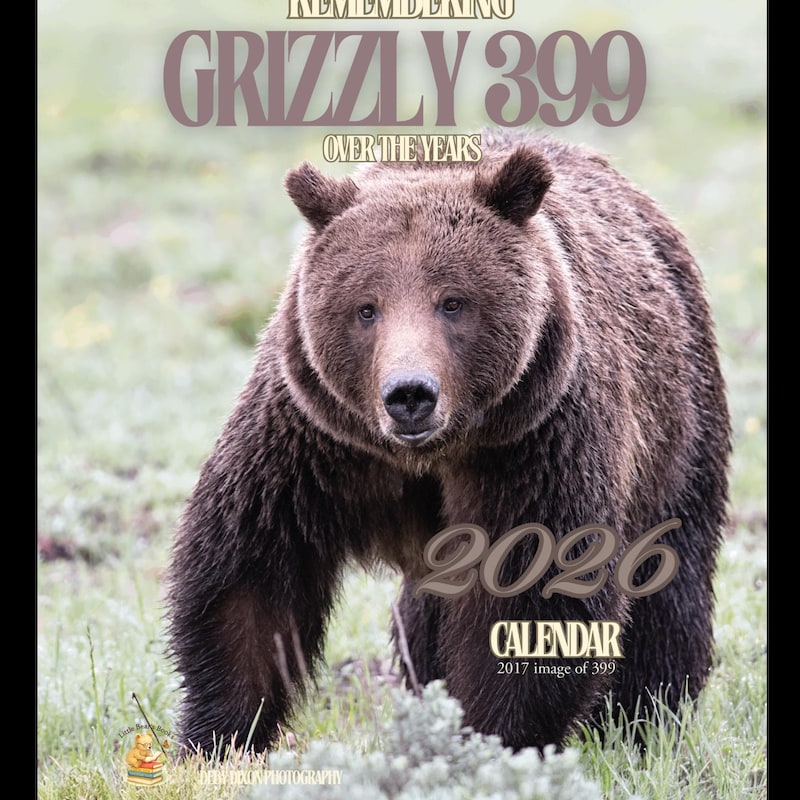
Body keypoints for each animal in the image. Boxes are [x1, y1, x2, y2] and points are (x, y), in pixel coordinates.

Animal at [166, 129, 730, 755]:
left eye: (452, 301)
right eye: (366, 308)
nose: (410, 394)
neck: (429, 455)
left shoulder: (534, 446)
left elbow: (533, 596)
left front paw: (492, 738)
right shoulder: (311, 441)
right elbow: (252, 573)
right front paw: (218, 737)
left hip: (679, 422)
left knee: (667, 579)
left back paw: (640, 717)